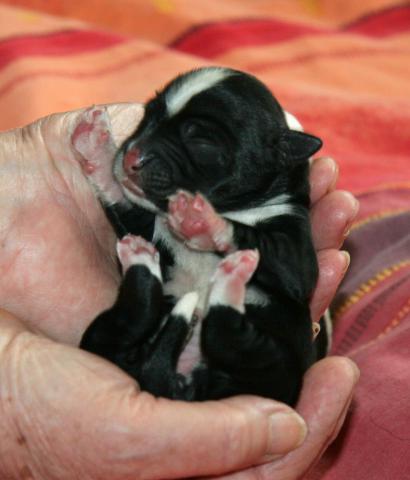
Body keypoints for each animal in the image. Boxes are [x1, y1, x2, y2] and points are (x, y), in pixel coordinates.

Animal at [75, 67, 328, 404]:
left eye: (200, 141)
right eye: (148, 114)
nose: (131, 158)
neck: (234, 206)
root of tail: (183, 386)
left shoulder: (297, 253)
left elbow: (277, 256)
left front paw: (200, 220)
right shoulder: (144, 222)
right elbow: (121, 197)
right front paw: (96, 148)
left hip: (274, 370)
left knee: (223, 333)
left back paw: (227, 280)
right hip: (106, 339)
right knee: (141, 312)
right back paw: (143, 259)